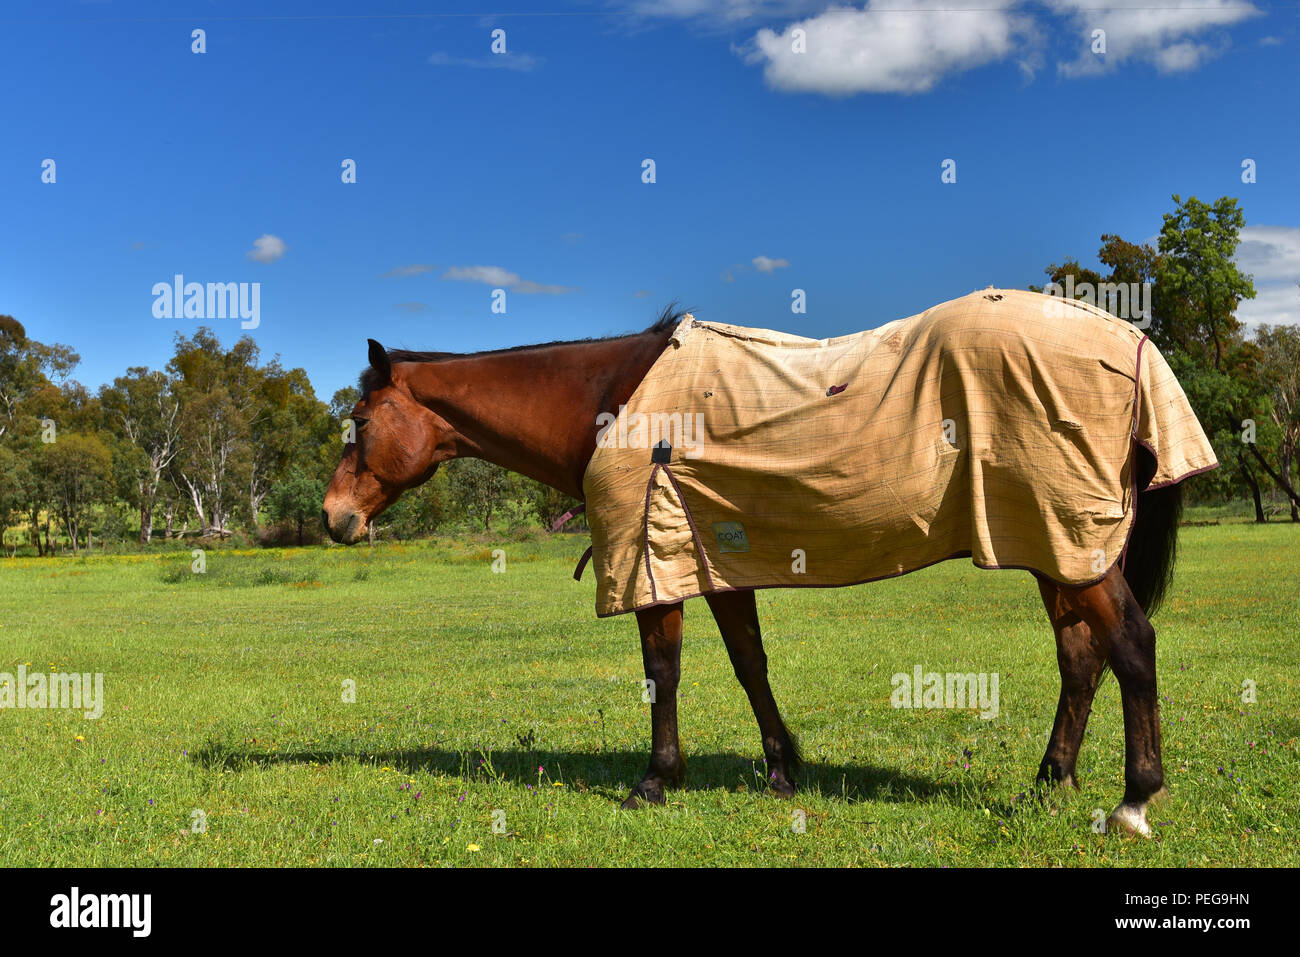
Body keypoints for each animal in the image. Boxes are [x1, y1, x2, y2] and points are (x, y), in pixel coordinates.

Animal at [322, 302, 1208, 837]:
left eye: (360, 419)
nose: (335, 518)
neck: (617, 401)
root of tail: (1128, 347)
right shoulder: (714, 556)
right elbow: (751, 663)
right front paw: (783, 767)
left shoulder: (654, 562)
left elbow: (663, 672)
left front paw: (656, 779)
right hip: (1059, 546)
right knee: (1081, 658)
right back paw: (1050, 779)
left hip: (1071, 545)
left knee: (1131, 647)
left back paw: (1134, 797)